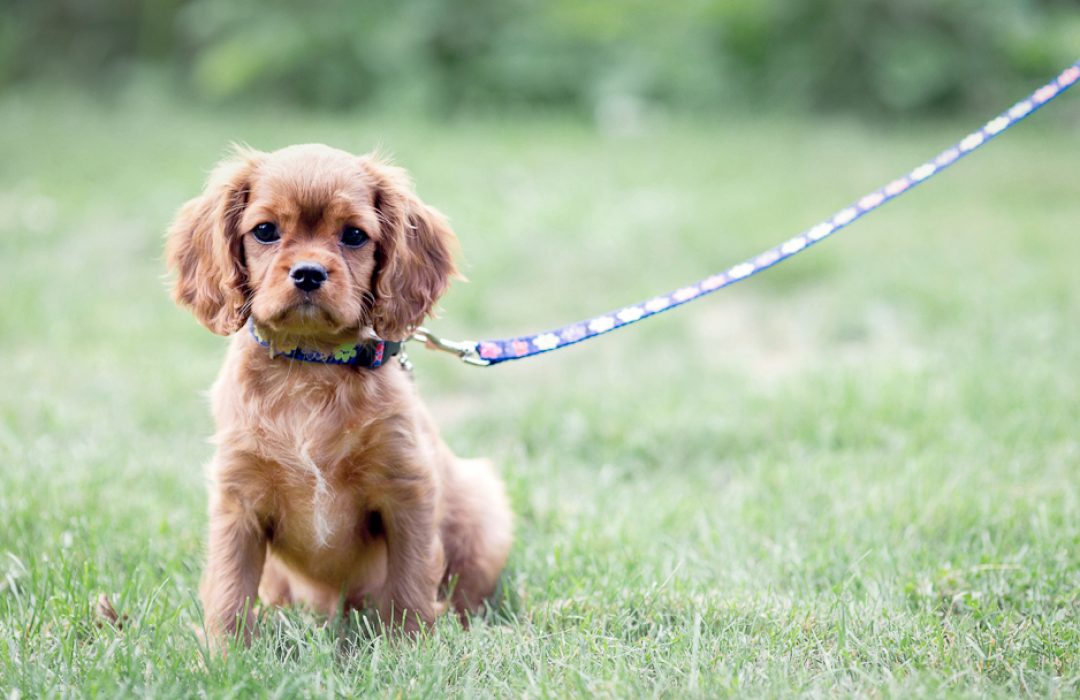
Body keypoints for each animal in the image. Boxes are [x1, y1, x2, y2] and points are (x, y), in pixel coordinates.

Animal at [165, 144, 509, 643]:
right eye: (265, 231)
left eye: (354, 235)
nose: (309, 274)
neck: (312, 365)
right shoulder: (238, 500)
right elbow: (229, 589)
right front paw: (223, 655)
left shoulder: (408, 489)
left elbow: (409, 581)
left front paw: (410, 648)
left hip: (483, 509)